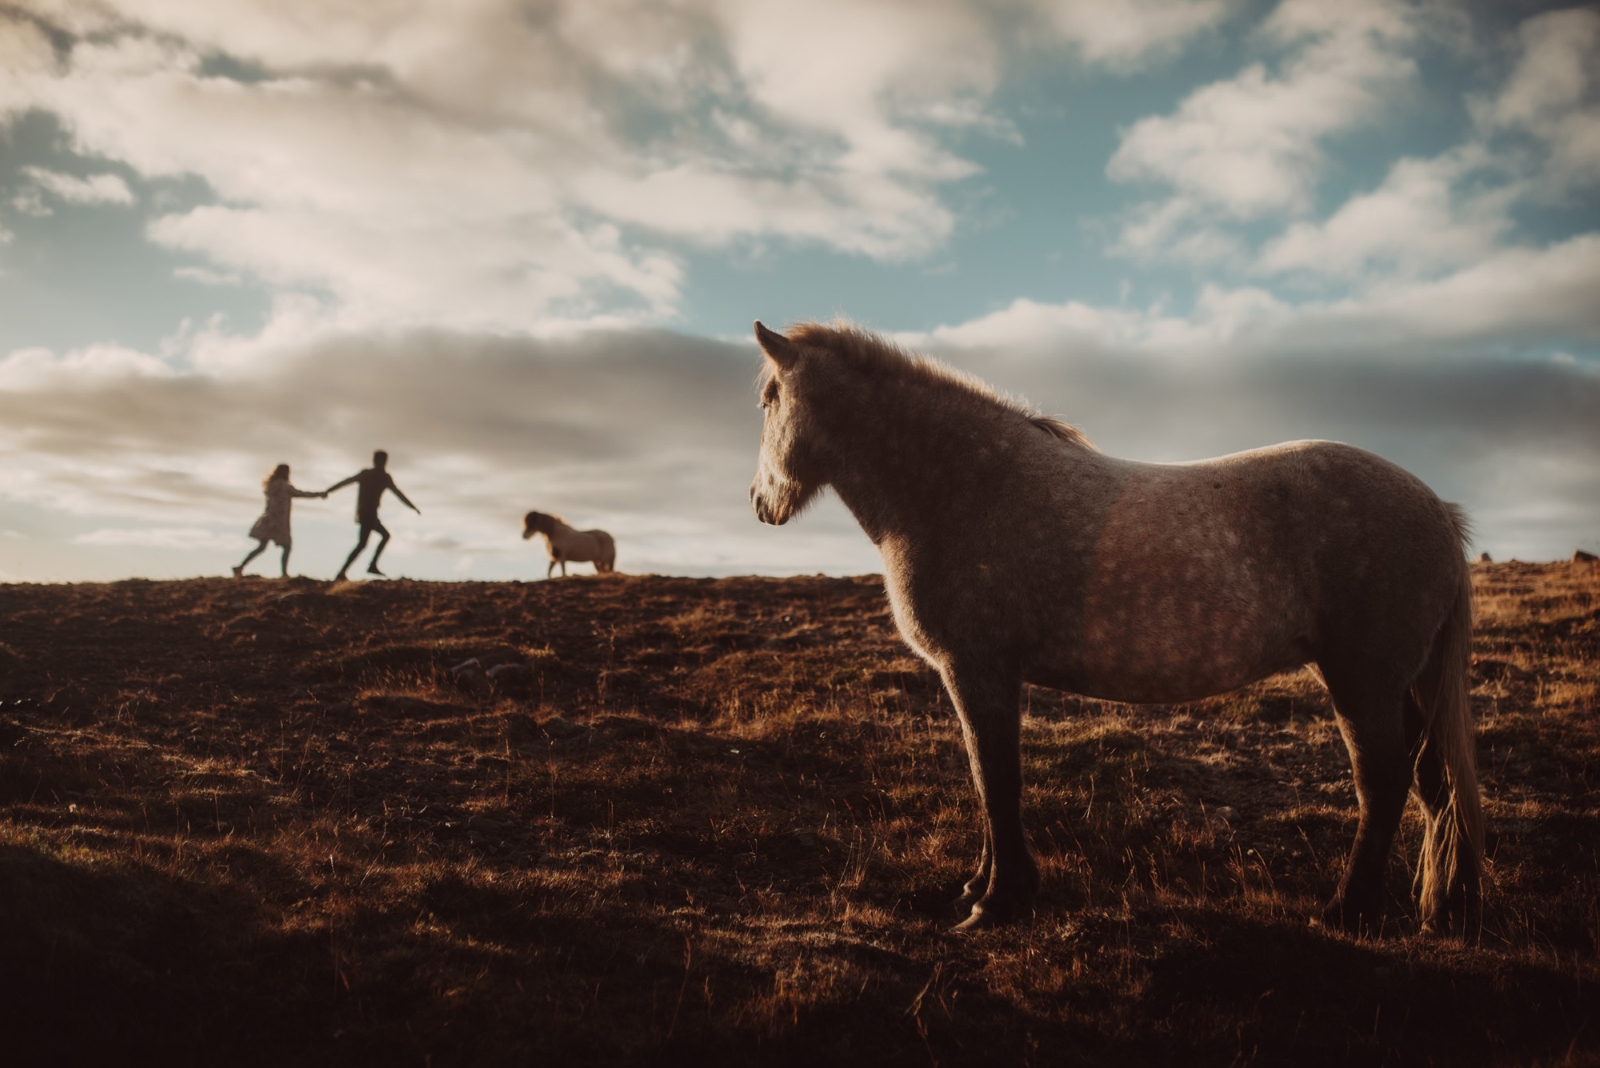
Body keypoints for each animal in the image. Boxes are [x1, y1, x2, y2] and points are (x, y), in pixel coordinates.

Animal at [748, 319, 1484, 933]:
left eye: (766, 398)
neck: (960, 486)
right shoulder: (982, 677)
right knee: (1432, 783)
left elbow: (996, 779)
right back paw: (1439, 908)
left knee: (1384, 782)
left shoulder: (977, 670)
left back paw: (1346, 910)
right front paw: (981, 888)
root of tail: (1439, 511)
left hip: (1363, 682)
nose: (759, 502)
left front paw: (998, 902)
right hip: (1402, 685)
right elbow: (988, 778)